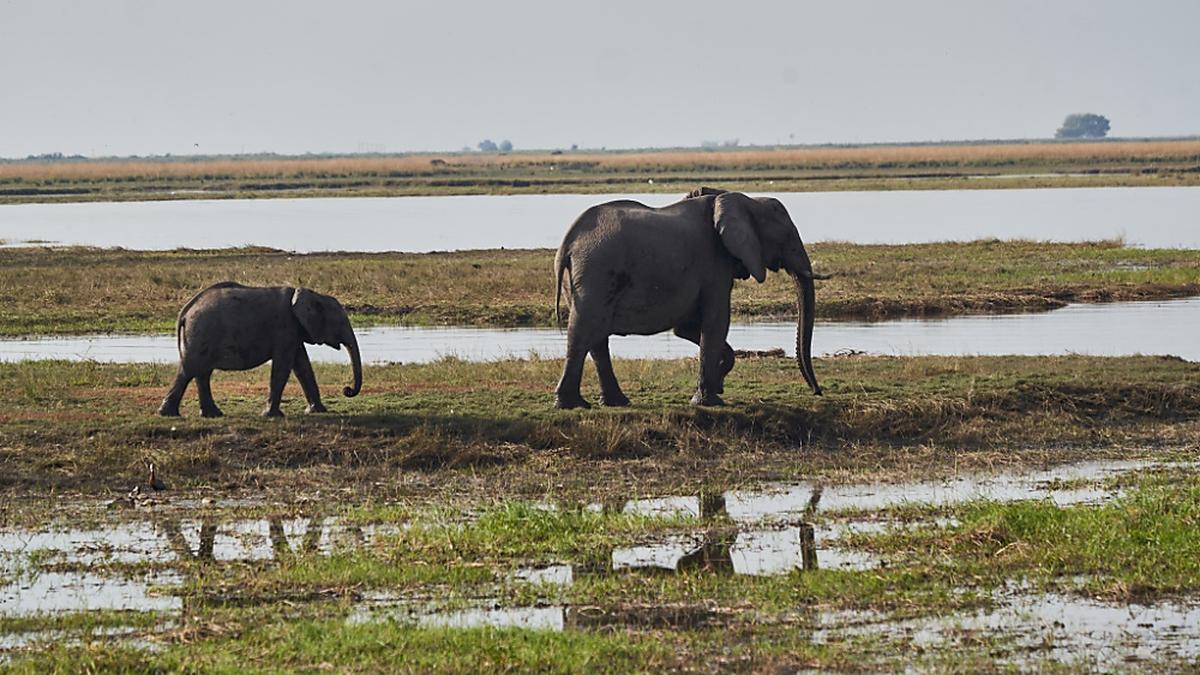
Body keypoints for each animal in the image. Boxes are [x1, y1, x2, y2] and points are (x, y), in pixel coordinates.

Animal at [162, 278, 362, 415]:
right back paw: (170, 414)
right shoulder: (285, 327)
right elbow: (283, 365)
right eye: (340, 322)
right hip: (201, 332)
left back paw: (210, 415)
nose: (346, 389)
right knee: (191, 369)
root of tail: (185, 312)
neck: (309, 294)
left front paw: (317, 411)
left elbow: (302, 365)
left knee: (200, 372)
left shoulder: (293, 331)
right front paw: (272, 415)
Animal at [552, 184, 825, 403]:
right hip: (596, 271)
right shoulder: (714, 263)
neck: (743, 199)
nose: (817, 392)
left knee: (596, 338)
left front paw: (717, 384)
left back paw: (614, 402)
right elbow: (716, 322)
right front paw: (709, 400)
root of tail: (568, 242)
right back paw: (572, 404)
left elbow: (687, 328)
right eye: (787, 237)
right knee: (584, 330)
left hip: (579, 278)